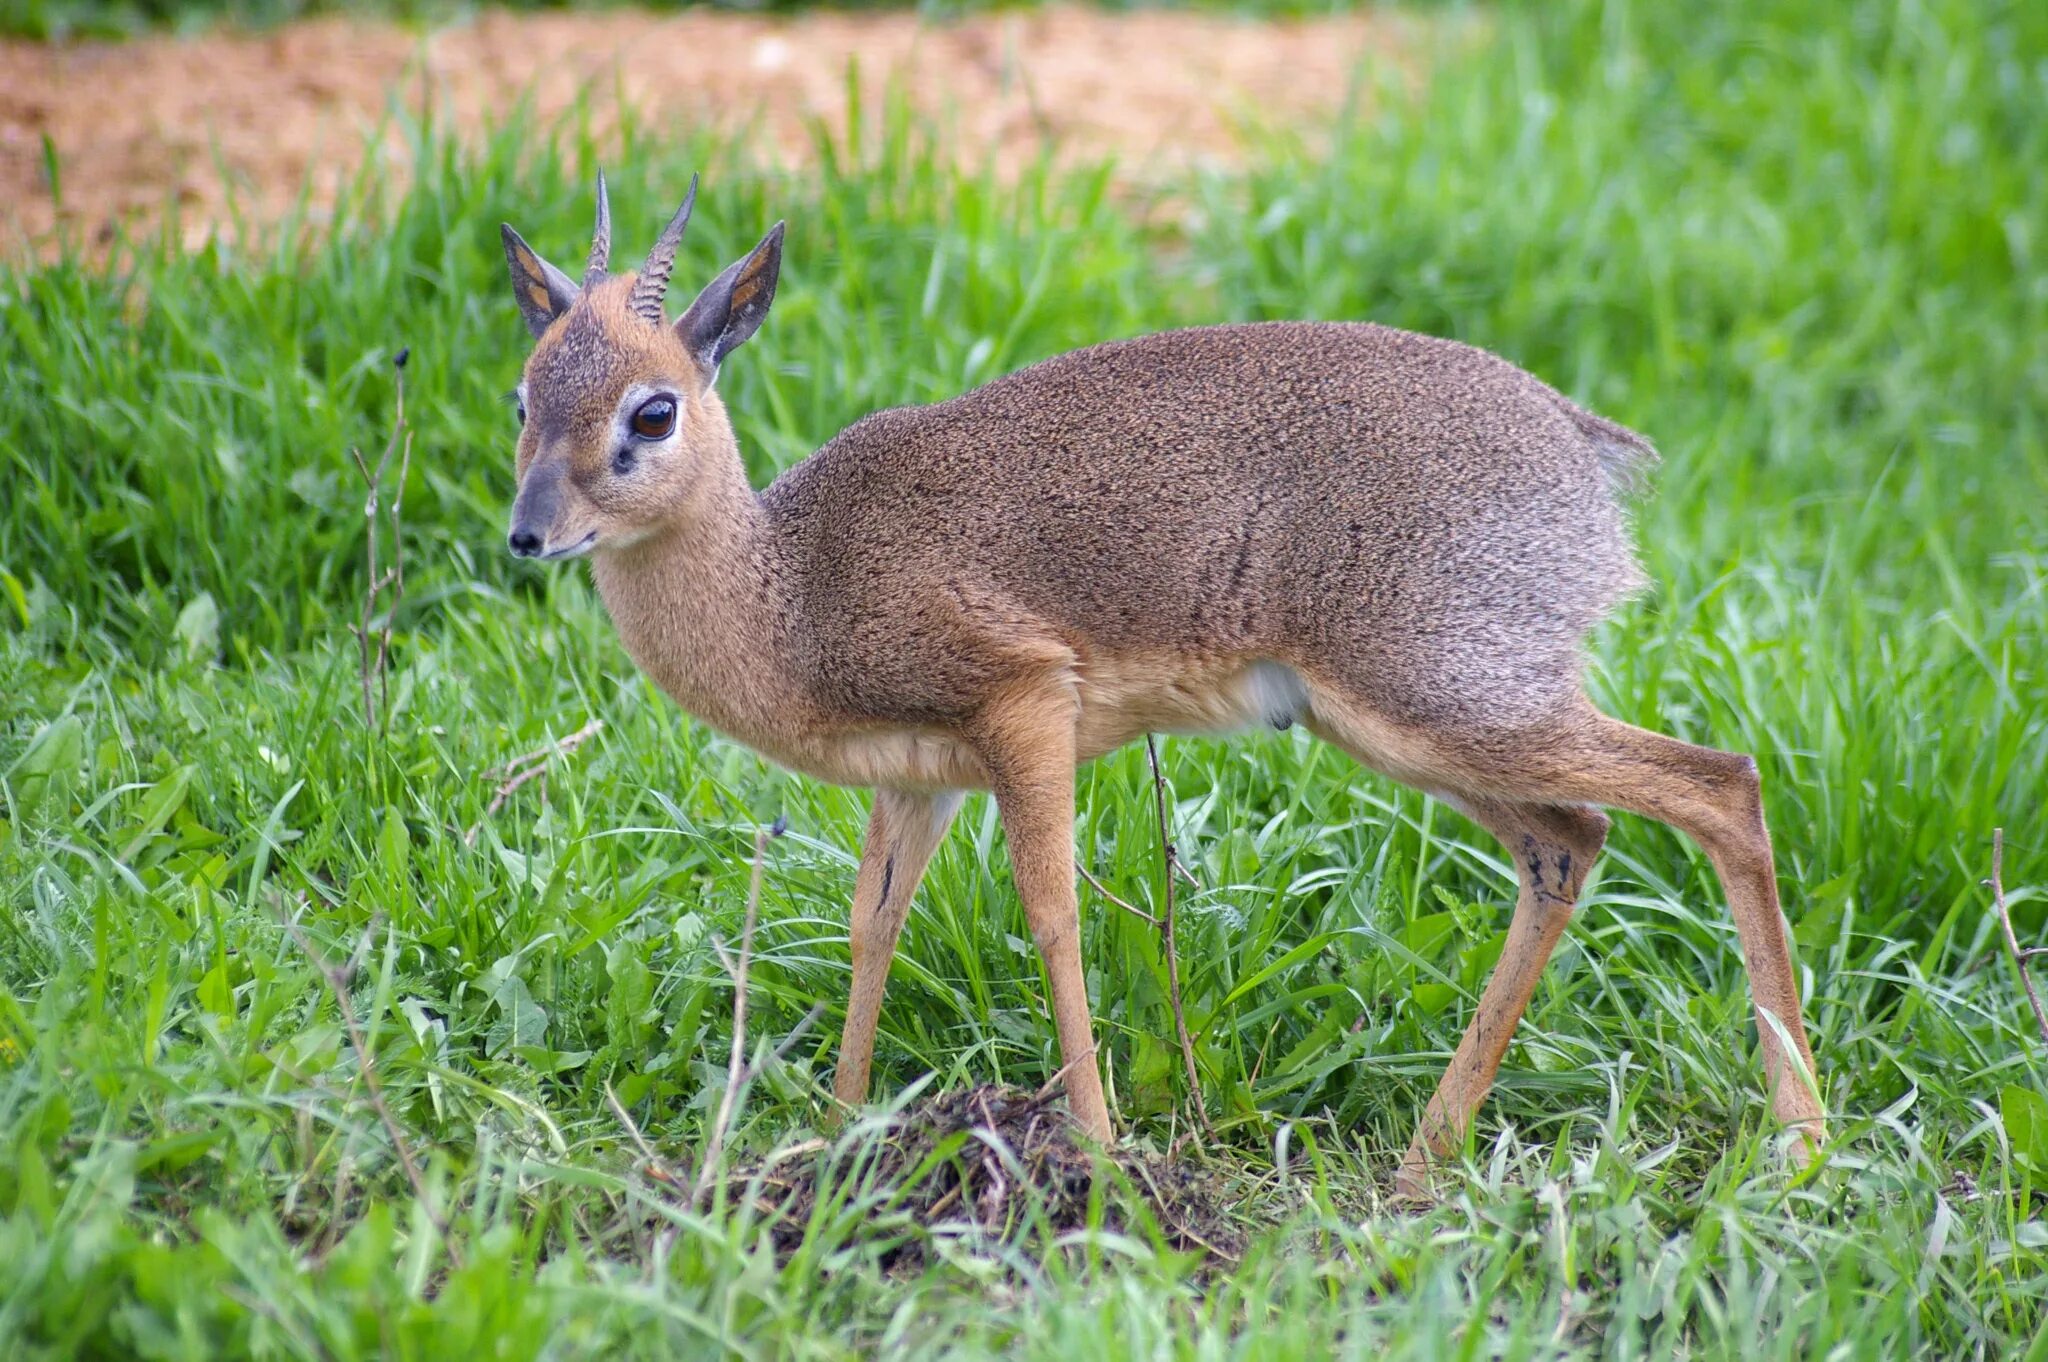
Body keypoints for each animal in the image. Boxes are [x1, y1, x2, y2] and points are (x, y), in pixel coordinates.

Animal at [503, 178, 1835, 1187]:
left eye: (652, 411)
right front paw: (838, 1139)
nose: (527, 535)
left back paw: (1802, 1142)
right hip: (1406, 731)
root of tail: (1576, 440)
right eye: (524, 393)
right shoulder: (917, 779)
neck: (790, 587)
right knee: (1572, 841)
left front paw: (1094, 1153)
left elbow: (1051, 912)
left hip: (1450, 705)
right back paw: (1424, 1161)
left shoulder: (1023, 708)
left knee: (1718, 783)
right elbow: (870, 923)